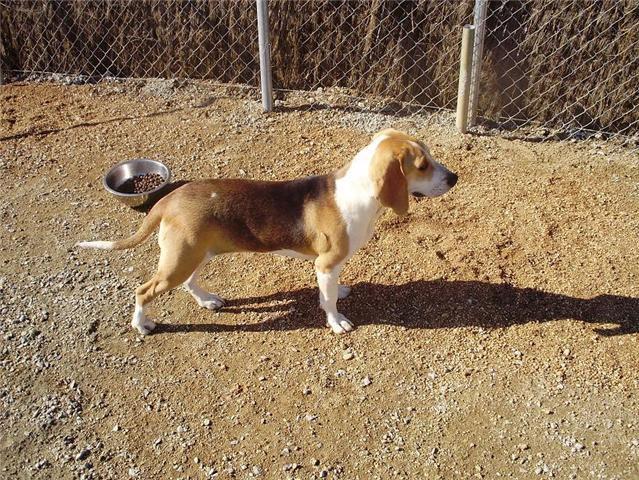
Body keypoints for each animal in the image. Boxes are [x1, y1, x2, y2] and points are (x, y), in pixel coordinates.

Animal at [77, 129, 458, 336]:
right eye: (422, 165)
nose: (454, 178)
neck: (360, 191)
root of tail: (170, 197)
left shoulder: (330, 267)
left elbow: (331, 290)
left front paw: (341, 292)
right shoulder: (325, 264)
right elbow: (328, 301)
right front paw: (336, 321)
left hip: (196, 253)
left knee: (189, 283)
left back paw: (207, 300)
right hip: (180, 260)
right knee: (143, 291)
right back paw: (142, 324)